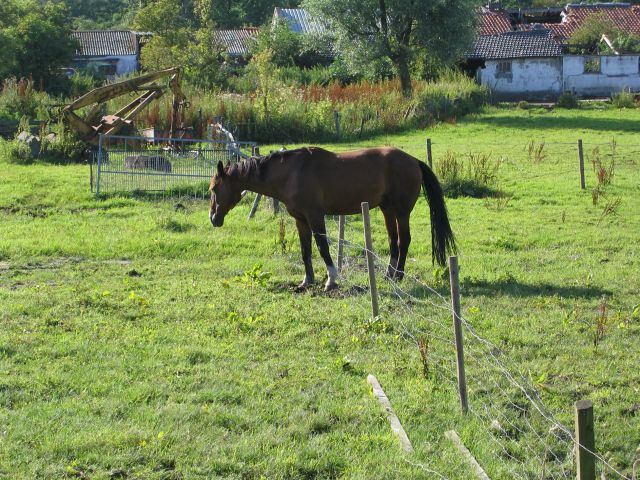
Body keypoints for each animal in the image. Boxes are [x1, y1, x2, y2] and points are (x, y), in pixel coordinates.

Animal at [210, 145, 456, 288]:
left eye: (213, 189)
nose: (213, 218)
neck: (292, 173)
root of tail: (413, 160)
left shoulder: (315, 216)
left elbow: (322, 247)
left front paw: (331, 279)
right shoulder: (300, 220)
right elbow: (306, 251)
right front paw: (307, 282)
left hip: (402, 212)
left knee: (404, 241)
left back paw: (399, 276)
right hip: (387, 210)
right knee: (393, 241)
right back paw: (389, 275)